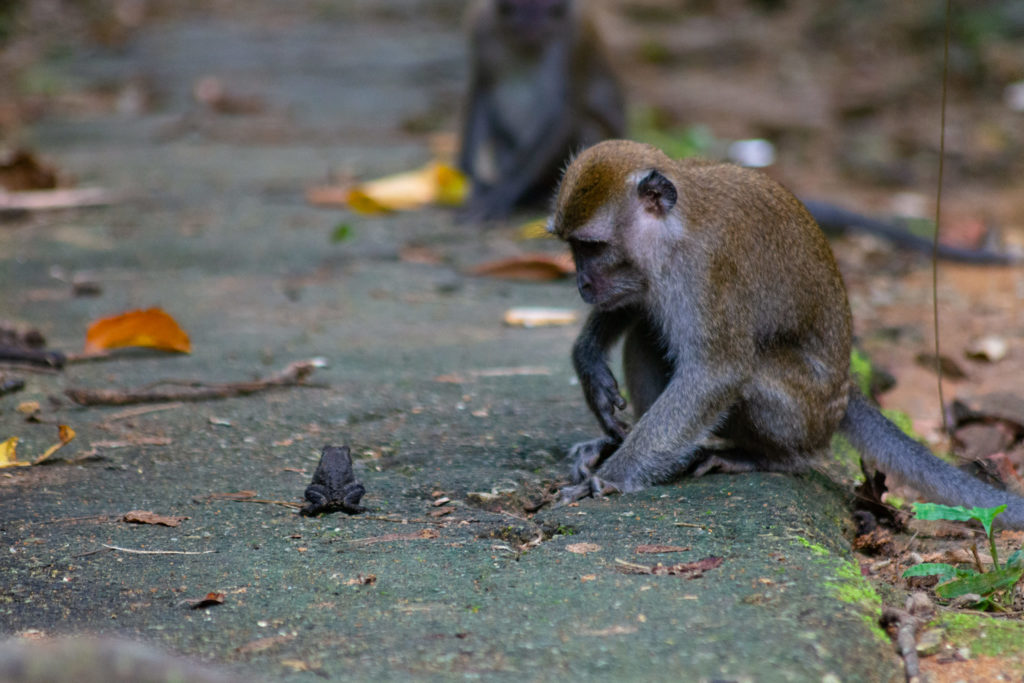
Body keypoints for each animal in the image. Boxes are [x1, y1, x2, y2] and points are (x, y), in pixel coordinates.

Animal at [548, 136, 1024, 528]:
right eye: (571, 246)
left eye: (592, 247)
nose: (582, 283)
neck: (676, 229)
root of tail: (845, 389)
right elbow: (632, 303)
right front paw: (589, 364)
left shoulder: (709, 270)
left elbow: (717, 373)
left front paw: (610, 479)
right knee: (647, 335)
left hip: (808, 414)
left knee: (756, 379)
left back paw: (772, 459)